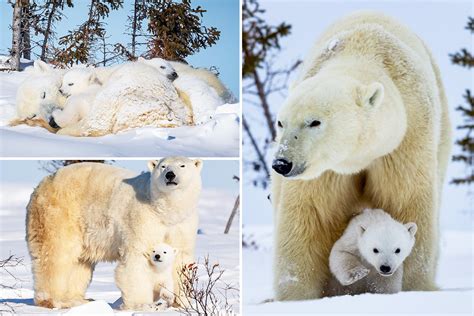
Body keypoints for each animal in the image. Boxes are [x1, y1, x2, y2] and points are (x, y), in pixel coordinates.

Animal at [26, 157, 203, 310]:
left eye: (182, 165)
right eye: (163, 166)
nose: (170, 175)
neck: (164, 210)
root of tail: (41, 185)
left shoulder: (182, 224)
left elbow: (180, 259)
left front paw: (182, 303)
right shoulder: (141, 218)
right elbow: (137, 258)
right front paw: (143, 305)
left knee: (80, 263)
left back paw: (78, 300)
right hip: (59, 214)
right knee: (57, 254)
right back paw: (55, 301)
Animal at [272, 11, 450, 300]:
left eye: (314, 122)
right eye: (281, 123)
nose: (282, 164)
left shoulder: (407, 140)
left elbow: (407, 201)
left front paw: (414, 286)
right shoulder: (326, 171)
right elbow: (311, 214)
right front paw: (296, 296)